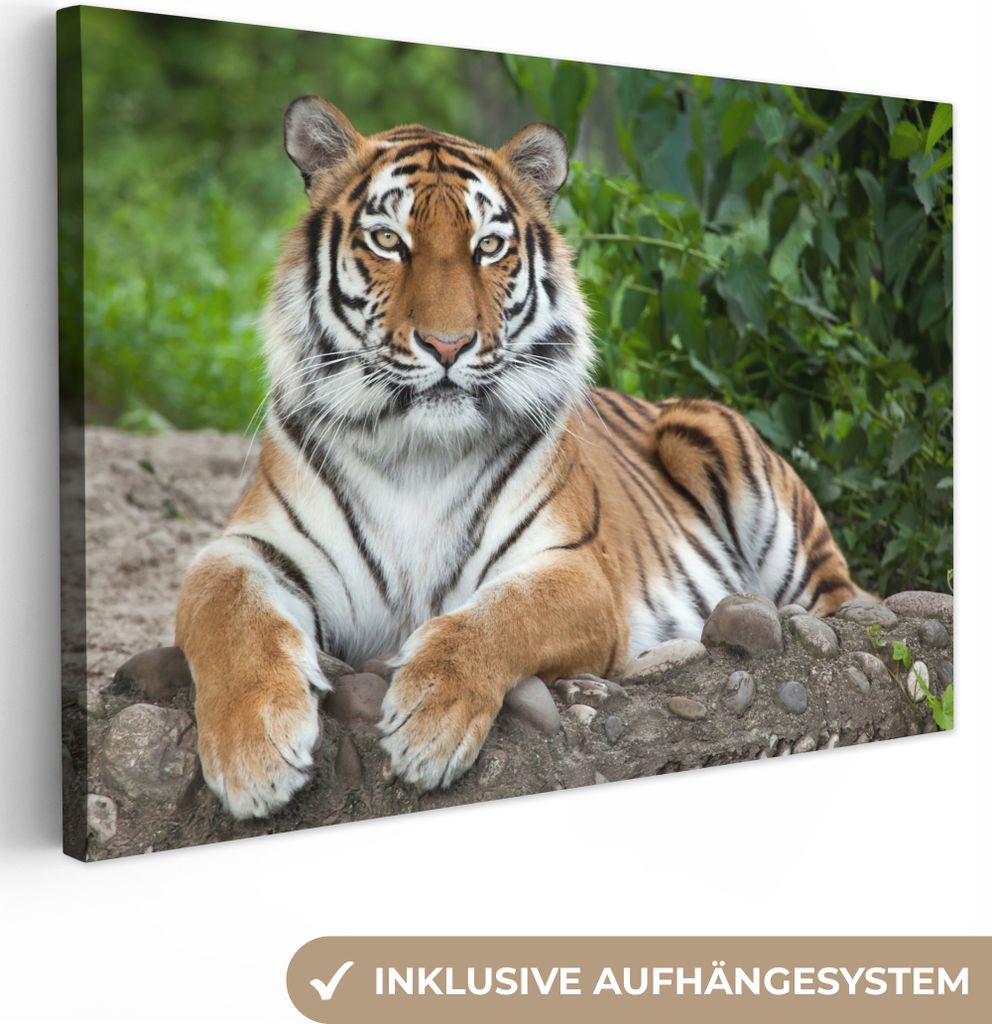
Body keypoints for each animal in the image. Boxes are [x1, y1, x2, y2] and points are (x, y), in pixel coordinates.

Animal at [176, 95, 863, 819]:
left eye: (489, 247)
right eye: (389, 241)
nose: (447, 345)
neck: (416, 451)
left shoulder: (576, 569)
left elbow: (498, 617)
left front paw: (428, 722)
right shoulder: (247, 546)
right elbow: (227, 611)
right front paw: (253, 753)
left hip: (718, 447)